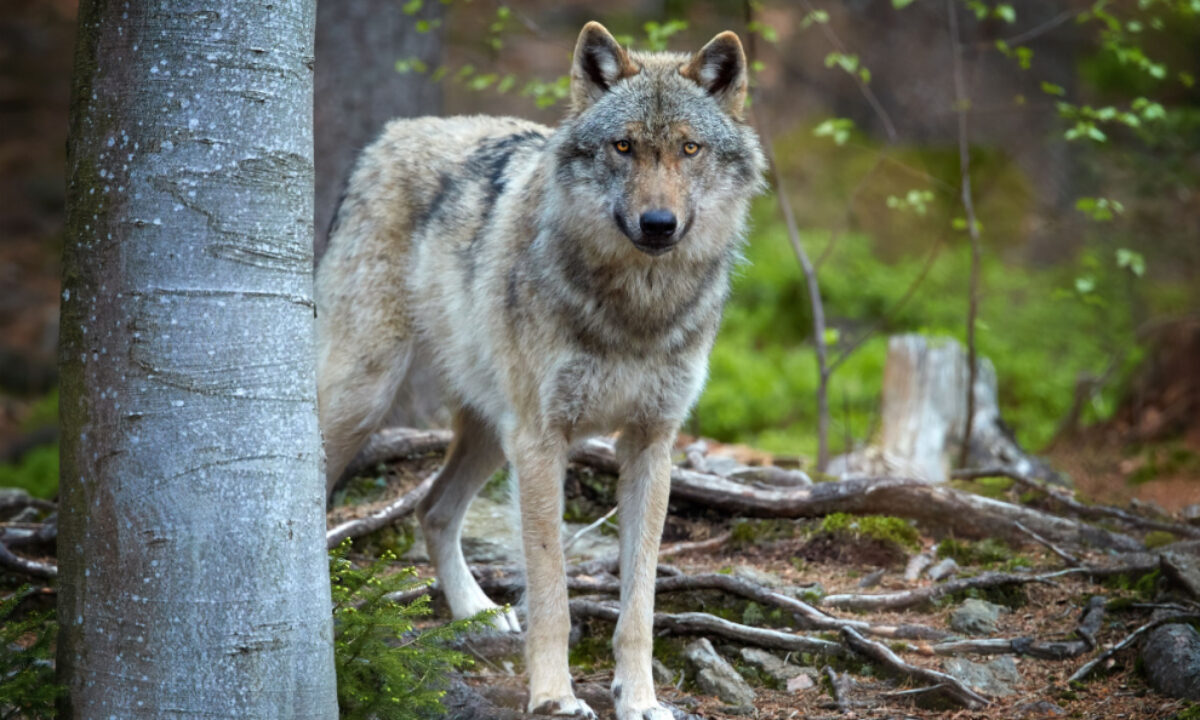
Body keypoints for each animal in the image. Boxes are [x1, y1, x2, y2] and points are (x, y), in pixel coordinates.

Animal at [315, 21, 765, 719]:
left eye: (689, 149)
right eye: (623, 146)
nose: (658, 224)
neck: (636, 309)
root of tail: (390, 134)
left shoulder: (652, 444)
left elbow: (640, 603)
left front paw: (640, 699)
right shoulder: (543, 441)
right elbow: (552, 589)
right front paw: (554, 695)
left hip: (490, 432)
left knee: (433, 510)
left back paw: (476, 611)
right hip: (367, 396)